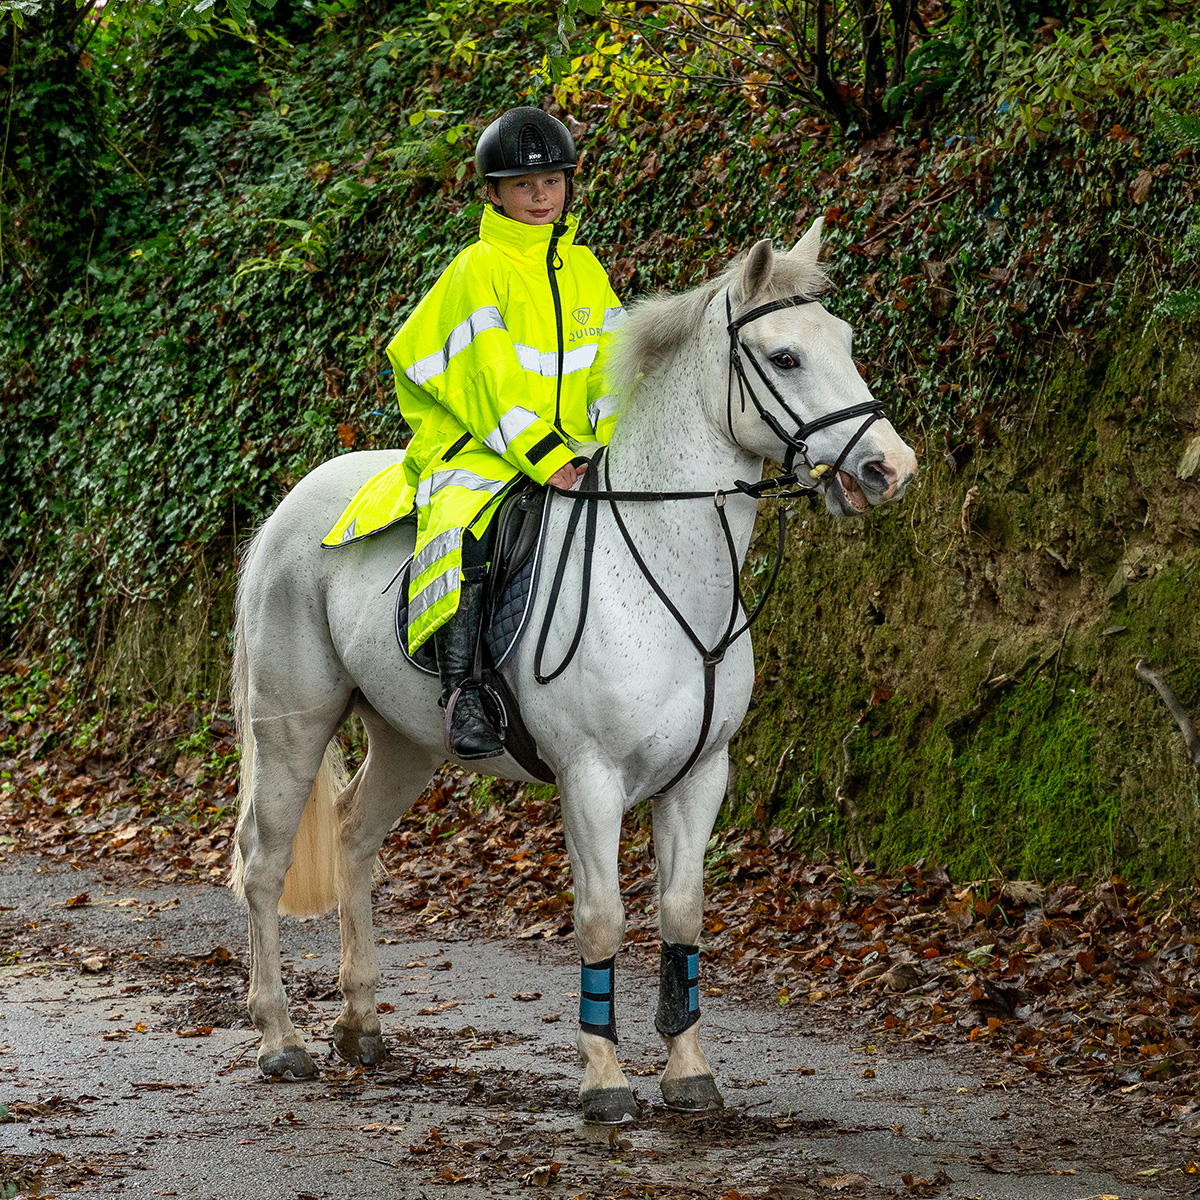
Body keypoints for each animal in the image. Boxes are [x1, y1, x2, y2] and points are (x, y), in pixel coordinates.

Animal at [228, 218, 918, 1124]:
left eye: (844, 340)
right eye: (785, 357)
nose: (890, 470)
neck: (664, 571)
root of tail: (288, 508)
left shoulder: (701, 776)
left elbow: (681, 915)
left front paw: (688, 1072)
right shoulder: (590, 779)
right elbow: (602, 920)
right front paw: (604, 1080)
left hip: (409, 742)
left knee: (352, 837)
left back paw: (361, 1024)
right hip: (292, 726)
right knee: (265, 862)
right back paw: (281, 1040)